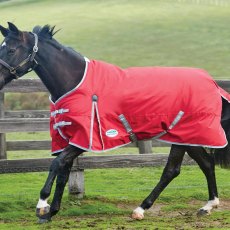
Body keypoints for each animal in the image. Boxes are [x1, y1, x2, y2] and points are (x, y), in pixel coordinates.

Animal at [0, 22, 229, 223]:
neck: (75, 83)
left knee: (172, 170)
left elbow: (56, 164)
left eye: (10, 49)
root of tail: (212, 82)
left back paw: (140, 209)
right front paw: (51, 212)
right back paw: (208, 206)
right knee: (206, 163)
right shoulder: (68, 138)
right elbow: (64, 171)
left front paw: (42, 205)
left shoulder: (83, 140)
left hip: (184, 135)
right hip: (187, 137)